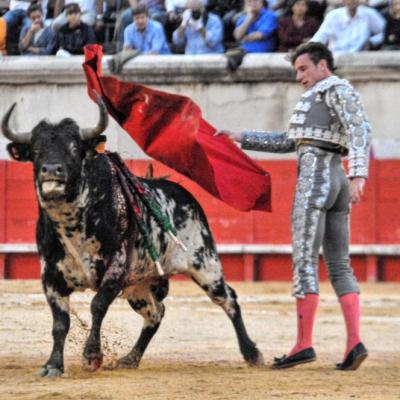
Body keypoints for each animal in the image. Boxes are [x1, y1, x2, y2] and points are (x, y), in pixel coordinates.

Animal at [3, 97, 266, 378]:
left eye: (74, 148)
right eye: (36, 150)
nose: (52, 170)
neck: (72, 222)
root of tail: (187, 197)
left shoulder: (116, 269)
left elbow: (97, 306)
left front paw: (92, 356)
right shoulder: (51, 277)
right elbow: (60, 322)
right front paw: (53, 365)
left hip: (205, 265)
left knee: (228, 299)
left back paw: (252, 353)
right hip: (139, 285)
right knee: (155, 313)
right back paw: (130, 358)